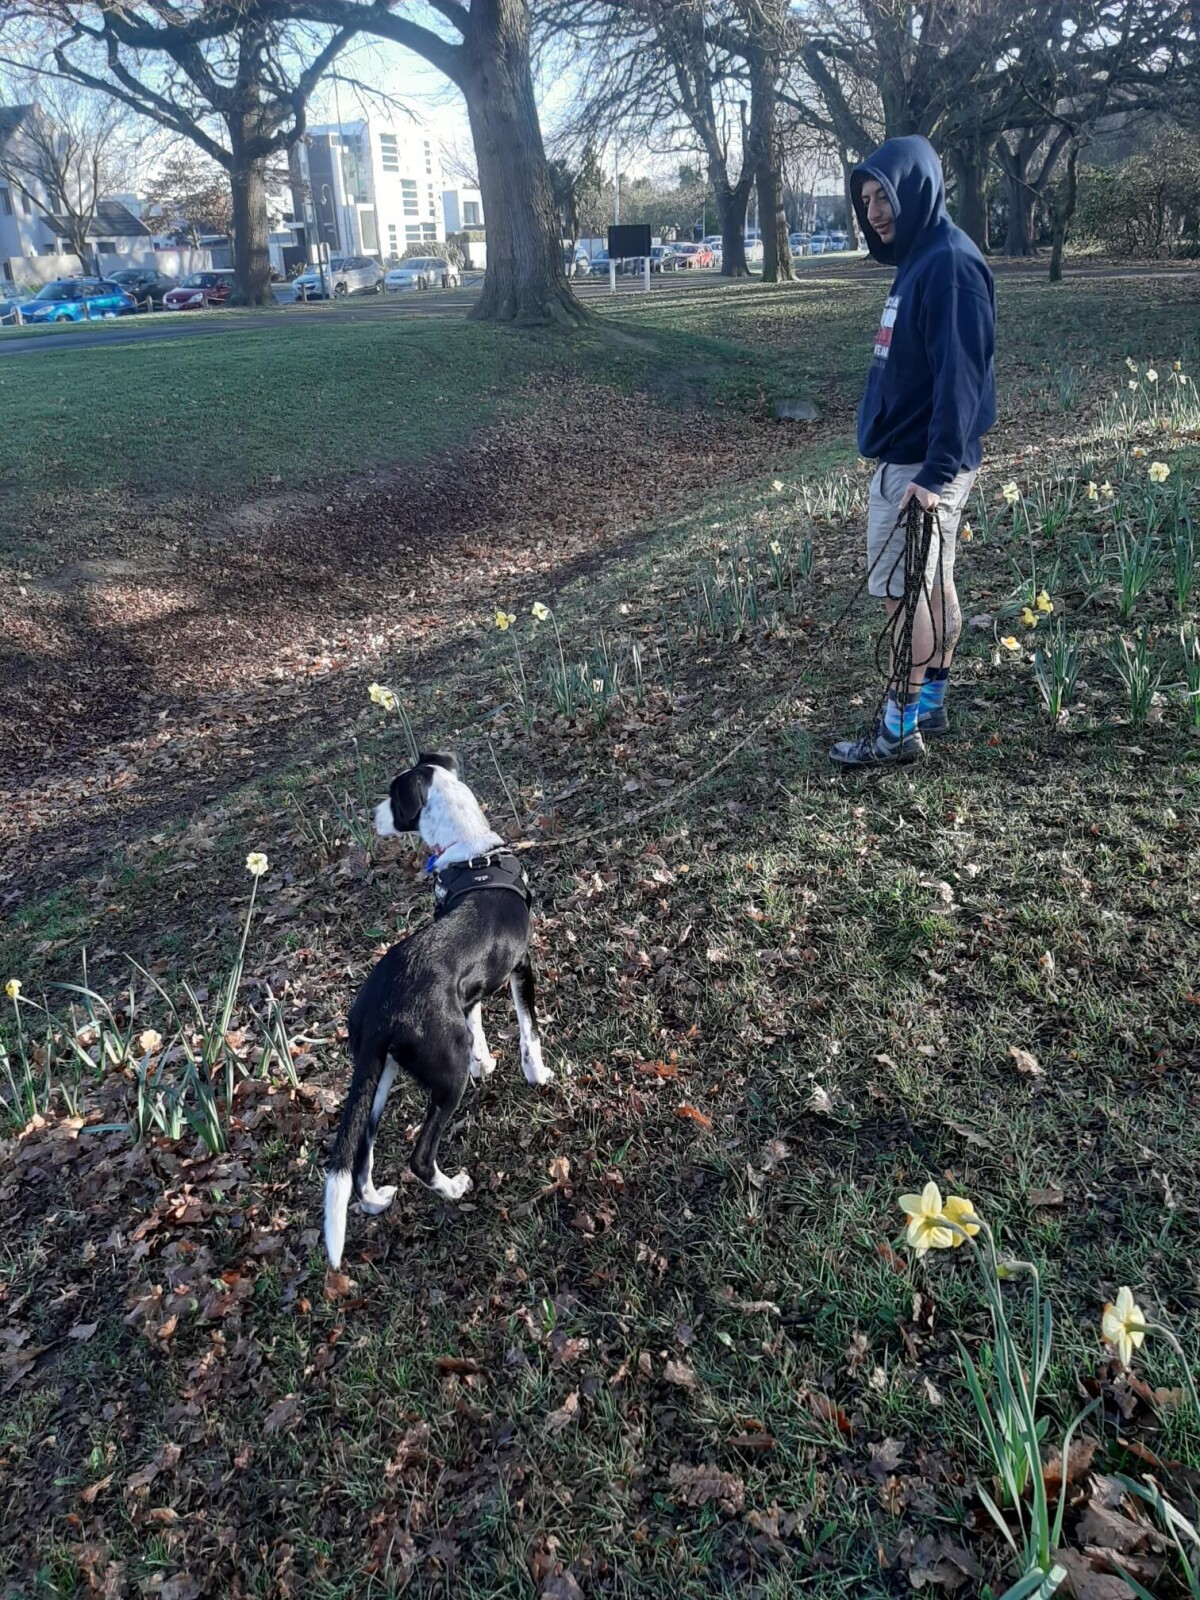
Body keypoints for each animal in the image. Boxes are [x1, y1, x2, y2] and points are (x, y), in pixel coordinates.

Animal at [323, 753, 551, 1268]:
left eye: (392, 798)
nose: (372, 816)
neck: (470, 853)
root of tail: (382, 1009)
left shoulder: (473, 991)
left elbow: (479, 1023)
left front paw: (486, 1062)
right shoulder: (521, 966)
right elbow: (528, 1030)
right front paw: (539, 1074)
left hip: (378, 1076)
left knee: (360, 1150)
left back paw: (374, 1200)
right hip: (446, 1076)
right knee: (419, 1156)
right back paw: (453, 1187)